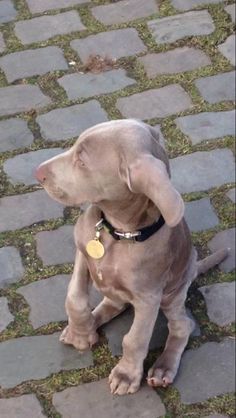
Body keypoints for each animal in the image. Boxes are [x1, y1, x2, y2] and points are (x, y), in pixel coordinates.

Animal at [35, 120, 227, 396]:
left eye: (82, 160)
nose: (37, 173)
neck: (119, 232)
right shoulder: (83, 254)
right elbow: (75, 298)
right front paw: (81, 334)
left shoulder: (149, 298)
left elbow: (134, 339)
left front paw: (126, 375)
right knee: (112, 304)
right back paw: (87, 324)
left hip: (172, 295)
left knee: (182, 326)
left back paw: (162, 368)